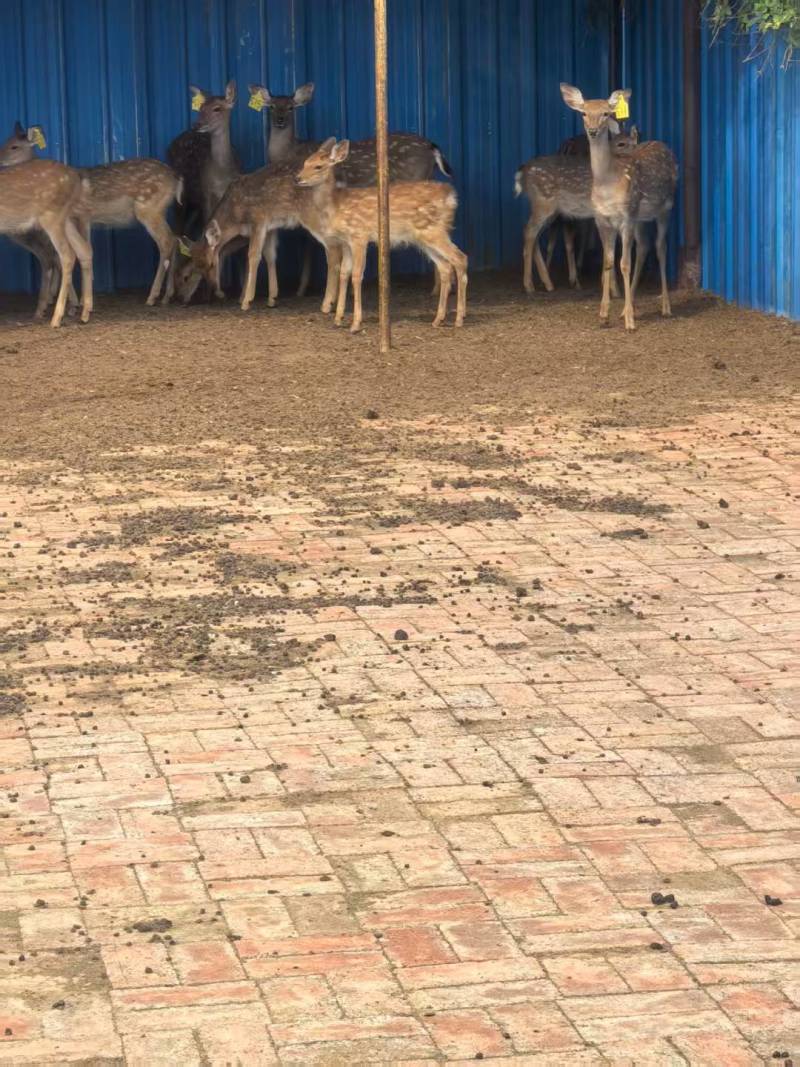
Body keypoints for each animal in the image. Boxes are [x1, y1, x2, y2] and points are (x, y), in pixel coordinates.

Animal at [0, 159, 93, 327]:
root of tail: (76, 176)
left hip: (51, 215)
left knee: (66, 255)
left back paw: (56, 318)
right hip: (65, 218)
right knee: (84, 249)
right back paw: (85, 313)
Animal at [295, 139, 467, 333]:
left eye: (318, 166)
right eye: (305, 162)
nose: (298, 178)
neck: (335, 206)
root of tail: (451, 196)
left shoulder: (359, 235)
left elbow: (356, 275)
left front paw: (355, 323)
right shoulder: (346, 242)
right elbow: (344, 273)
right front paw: (338, 318)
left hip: (434, 231)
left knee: (460, 258)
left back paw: (459, 319)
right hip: (425, 238)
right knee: (445, 266)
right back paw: (438, 319)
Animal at [515, 125, 640, 295]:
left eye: (634, 141)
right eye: (620, 143)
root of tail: (524, 170)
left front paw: (607, 286)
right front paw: (614, 290)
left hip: (552, 210)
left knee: (533, 234)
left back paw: (548, 284)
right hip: (543, 202)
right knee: (529, 231)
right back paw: (529, 285)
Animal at [560, 84, 677, 330]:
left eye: (605, 112)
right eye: (584, 113)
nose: (593, 131)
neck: (607, 184)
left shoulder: (626, 215)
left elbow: (624, 263)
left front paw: (630, 322)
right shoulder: (602, 219)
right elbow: (607, 261)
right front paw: (604, 315)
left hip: (665, 207)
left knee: (660, 247)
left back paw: (665, 307)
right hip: (641, 217)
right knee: (643, 247)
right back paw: (626, 308)